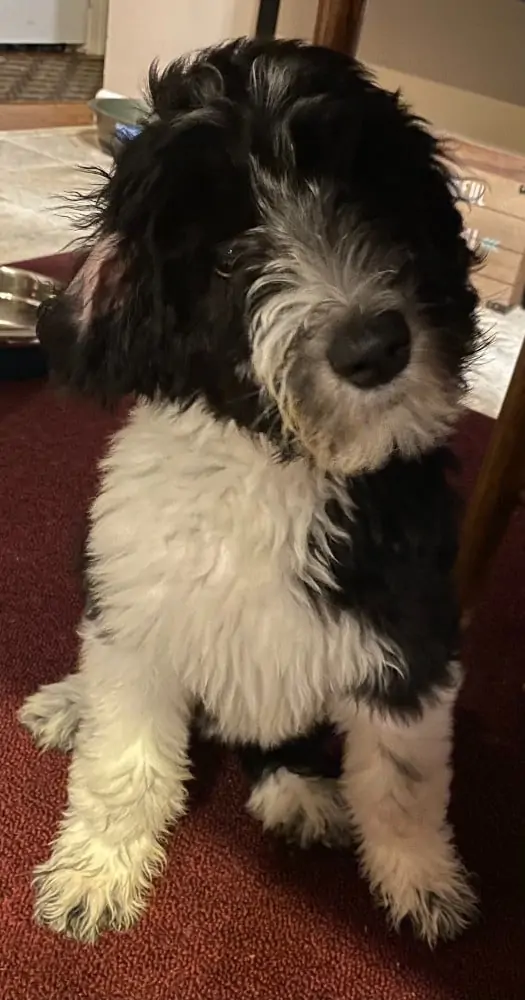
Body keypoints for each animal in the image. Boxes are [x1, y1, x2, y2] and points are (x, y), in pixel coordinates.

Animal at [19, 37, 478, 944]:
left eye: (361, 198)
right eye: (232, 258)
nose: (375, 347)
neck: (279, 462)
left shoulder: (406, 642)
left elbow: (401, 783)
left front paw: (420, 883)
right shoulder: (137, 621)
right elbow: (123, 767)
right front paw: (93, 877)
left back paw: (294, 791)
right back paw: (68, 704)